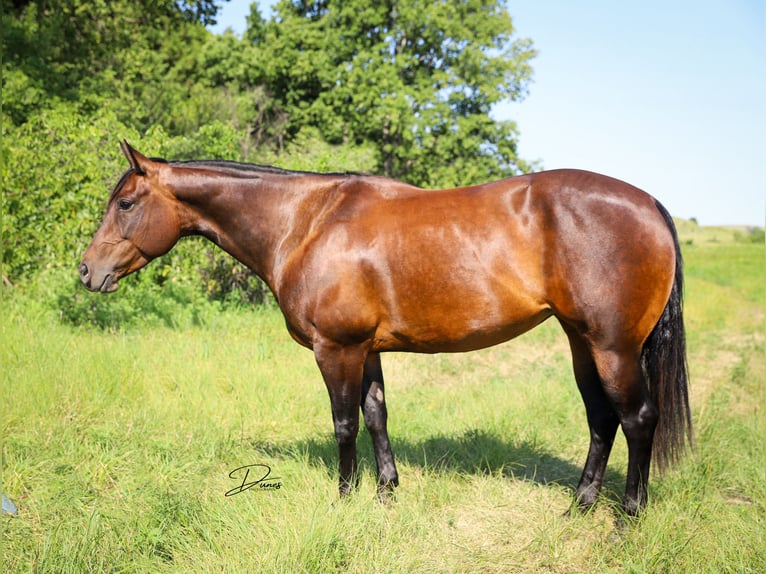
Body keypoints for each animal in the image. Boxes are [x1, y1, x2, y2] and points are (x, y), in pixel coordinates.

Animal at [81, 143, 692, 516]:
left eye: (126, 203)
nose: (87, 271)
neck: (307, 223)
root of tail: (649, 204)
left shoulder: (336, 348)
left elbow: (344, 423)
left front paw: (344, 498)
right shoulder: (366, 349)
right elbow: (376, 415)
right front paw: (385, 491)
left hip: (613, 347)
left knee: (638, 418)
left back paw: (628, 516)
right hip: (581, 342)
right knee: (601, 419)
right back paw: (579, 507)